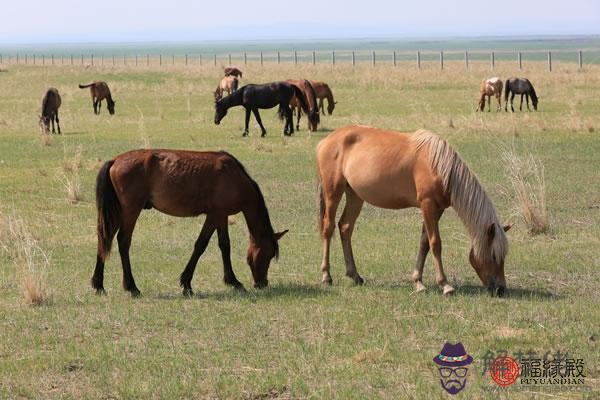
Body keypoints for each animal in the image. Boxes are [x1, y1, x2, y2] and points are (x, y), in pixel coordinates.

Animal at [92, 149, 290, 296]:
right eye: (268, 254)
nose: (262, 283)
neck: (234, 177)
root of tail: (115, 160)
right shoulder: (214, 215)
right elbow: (201, 245)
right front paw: (187, 283)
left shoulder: (222, 216)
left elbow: (224, 245)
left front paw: (232, 281)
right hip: (131, 210)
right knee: (123, 241)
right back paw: (131, 287)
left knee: (104, 239)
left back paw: (98, 284)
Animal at [314, 125, 510, 296]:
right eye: (493, 256)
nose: (501, 289)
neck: (439, 166)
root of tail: (325, 141)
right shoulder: (427, 205)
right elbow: (435, 243)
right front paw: (445, 285)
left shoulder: (437, 209)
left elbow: (424, 244)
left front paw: (418, 282)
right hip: (333, 192)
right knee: (328, 228)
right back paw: (326, 276)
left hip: (355, 195)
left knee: (345, 227)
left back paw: (355, 275)